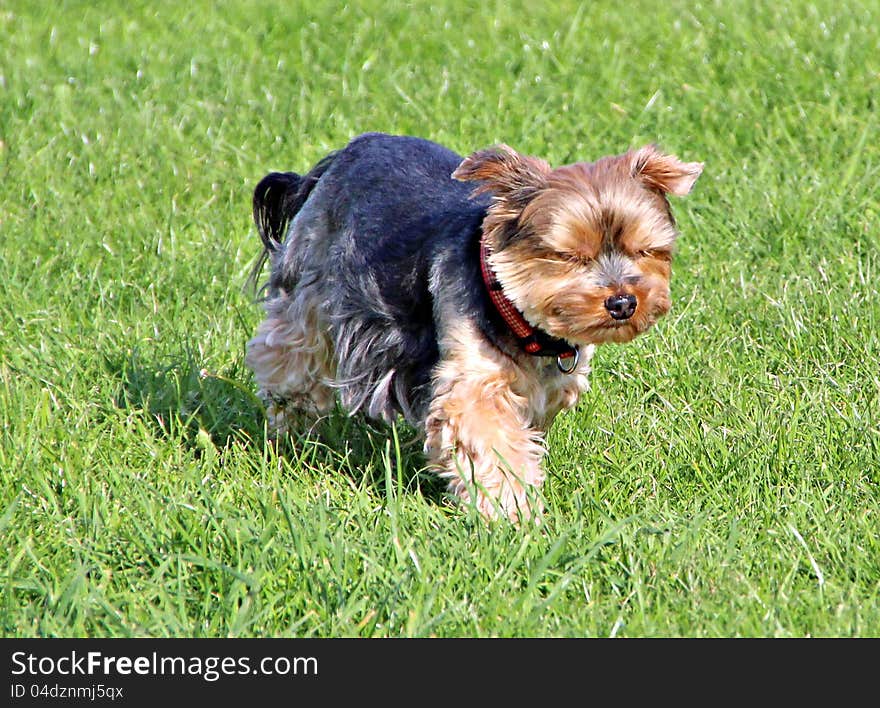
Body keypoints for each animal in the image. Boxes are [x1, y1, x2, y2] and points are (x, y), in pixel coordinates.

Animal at [242, 131, 700, 520]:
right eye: (569, 257)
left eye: (645, 250)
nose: (623, 302)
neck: (516, 317)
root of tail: (339, 156)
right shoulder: (471, 380)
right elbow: (489, 439)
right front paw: (514, 512)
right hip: (311, 283)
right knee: (290, 355)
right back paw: (291, 431)